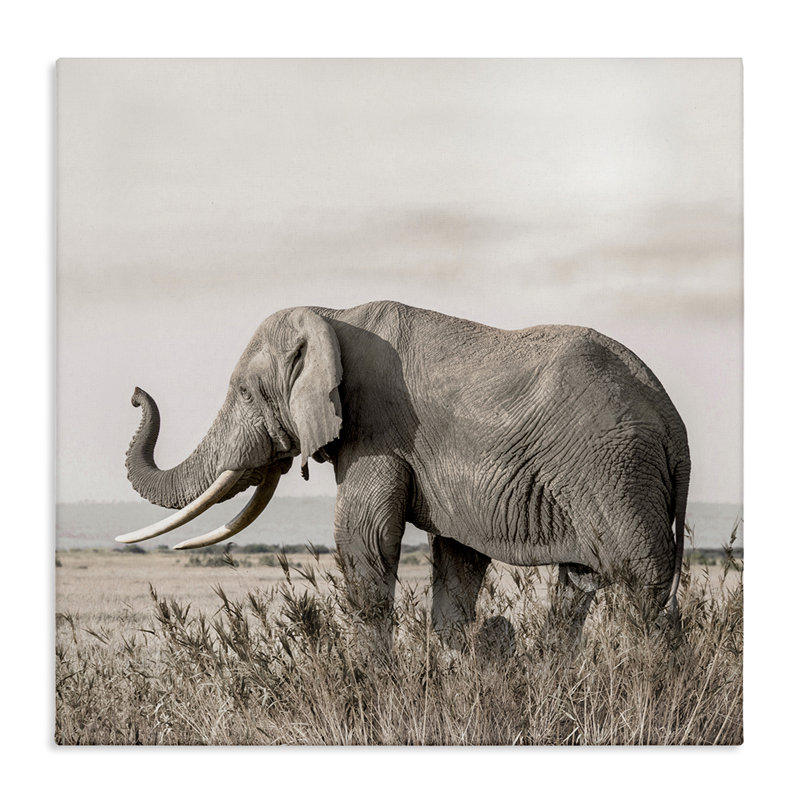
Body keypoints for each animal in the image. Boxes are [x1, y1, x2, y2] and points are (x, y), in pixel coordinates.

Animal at [117, 300, 690, 655]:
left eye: (243, 392)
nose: (135, 393)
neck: (333, 315)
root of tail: (674, 425)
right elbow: (457, 561)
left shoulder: (378, 429)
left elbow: (364, 538)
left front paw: (371, 687)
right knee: (579, 589)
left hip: (615, 472)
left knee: (639, 589)